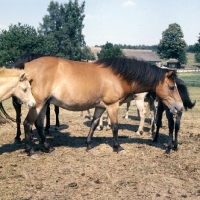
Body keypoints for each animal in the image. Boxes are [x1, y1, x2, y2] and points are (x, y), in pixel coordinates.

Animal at [0, 55, 184, 156]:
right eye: (171, 87)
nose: (180, 107)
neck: (118, 76)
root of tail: (26, 66)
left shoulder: (101, 107)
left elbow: (94, 124)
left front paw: (88, 145)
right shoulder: (112, 106)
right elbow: (115, 127)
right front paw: (118, 147)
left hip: (43, 104)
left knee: (38, 124)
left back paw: (47, 147)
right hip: (36, 104)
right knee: (27, 123)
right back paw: (30, 151)